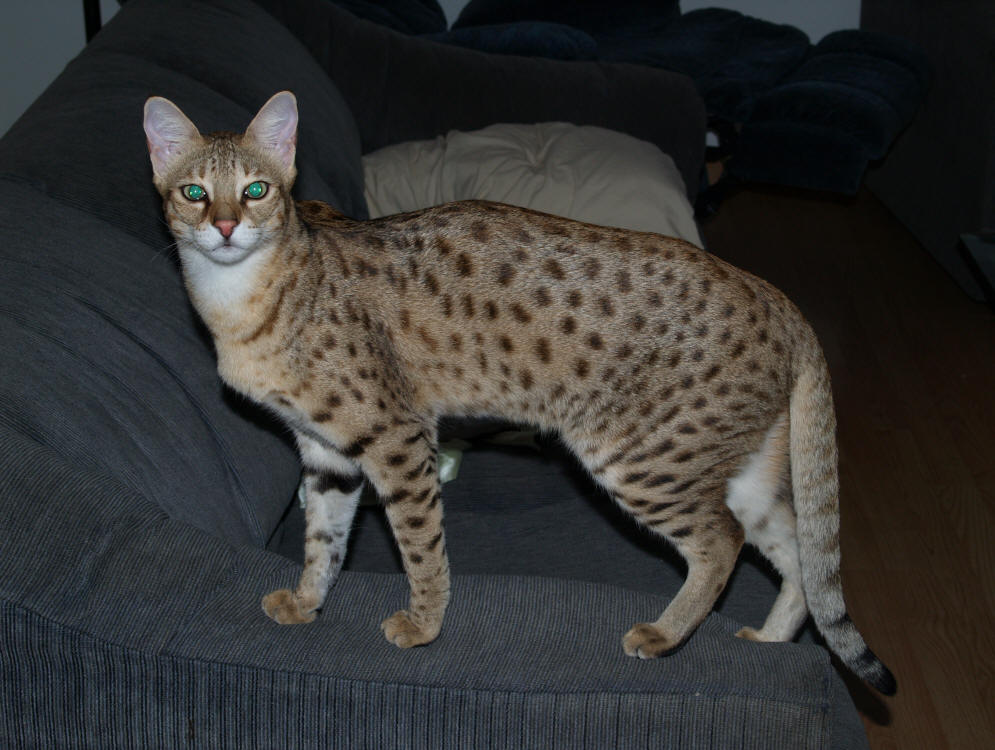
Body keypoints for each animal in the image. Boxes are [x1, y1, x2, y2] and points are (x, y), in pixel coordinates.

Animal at [144, 91, 895, 695]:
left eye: (256, 190)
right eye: (193, 194)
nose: (225, 227)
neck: (241, 303)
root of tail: (774, 295)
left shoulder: (398, 439)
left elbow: (420, 545)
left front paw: (423, 625)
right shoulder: (326, 453)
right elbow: (322, 541)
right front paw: (307, 604)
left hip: (640, 459)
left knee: (722, 541)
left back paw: (662, 635)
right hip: (733, 466)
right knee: (799, 552)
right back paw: (770, 642)